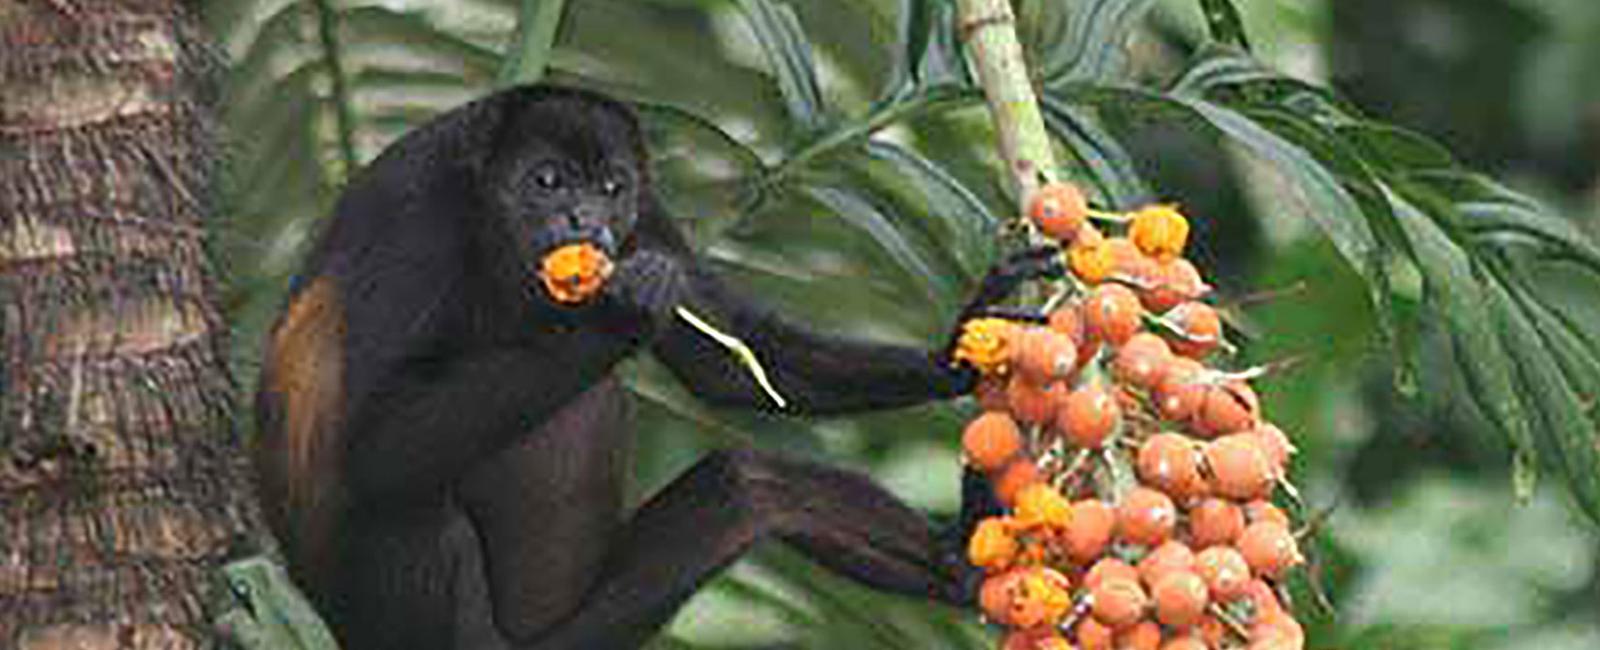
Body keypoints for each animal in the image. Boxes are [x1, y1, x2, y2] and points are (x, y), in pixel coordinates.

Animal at [256, 86, 1062, 650]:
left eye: (610, 186)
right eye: (547, 181)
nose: (587, 222)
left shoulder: (648, 215)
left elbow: (737, 360)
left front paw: (961, 347)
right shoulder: (416, 218)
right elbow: (375, 445)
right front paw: (621, 313)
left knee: (752, 485)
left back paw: (960, 567)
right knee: (406, 501)